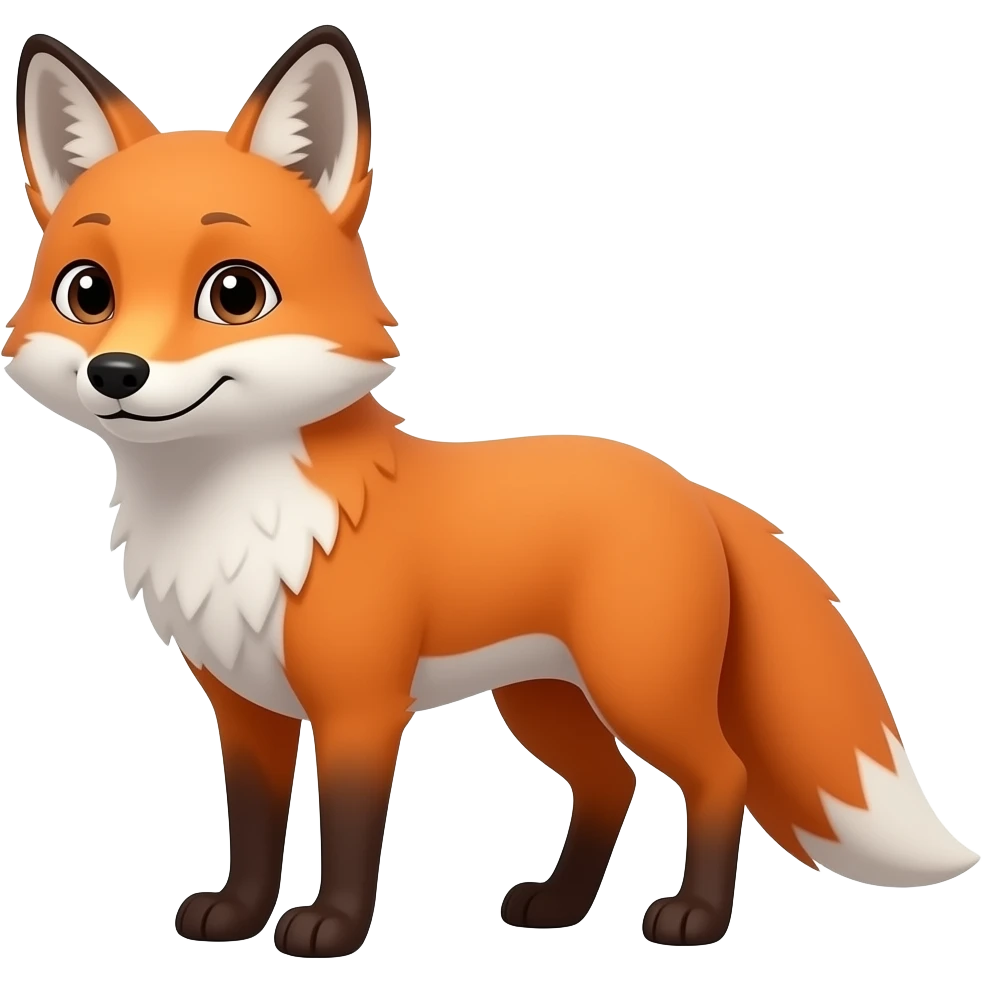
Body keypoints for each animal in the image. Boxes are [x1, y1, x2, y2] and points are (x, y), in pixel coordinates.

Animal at [4, 24, 977, 958]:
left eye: (234, 293)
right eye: (87, 292)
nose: (116, 373)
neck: (234, 518)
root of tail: (687, 483)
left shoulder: (361, 706)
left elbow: (348, 832)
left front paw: (331, 931)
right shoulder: (245, 707)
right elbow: (250, 829)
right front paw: (238, 916)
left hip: (639, 687)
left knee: (719, 774)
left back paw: (695, 918)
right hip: (543, 698)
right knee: (611, 783)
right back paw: (558, 907)